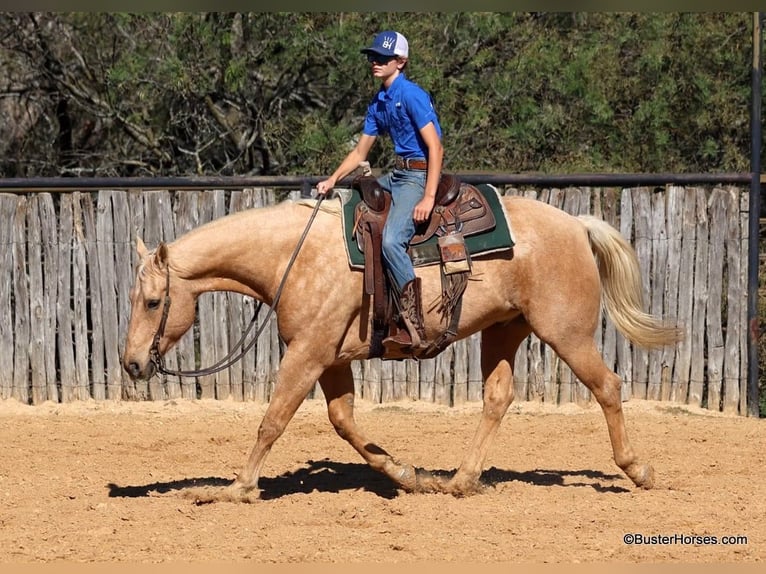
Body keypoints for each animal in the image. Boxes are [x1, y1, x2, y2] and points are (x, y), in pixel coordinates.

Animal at [122, 191, 683, 502]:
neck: (292, 256)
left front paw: (237, 487)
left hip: (565, 332)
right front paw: (407, 474)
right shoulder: (329, 359)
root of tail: (576, 225)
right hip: (505, 330)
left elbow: (273, 420)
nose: (131, 364)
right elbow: (344, 421)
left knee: (607, 385)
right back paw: (459, 480)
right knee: (497, 398)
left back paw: (639, 470)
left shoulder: (307, 354)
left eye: (153, 301)